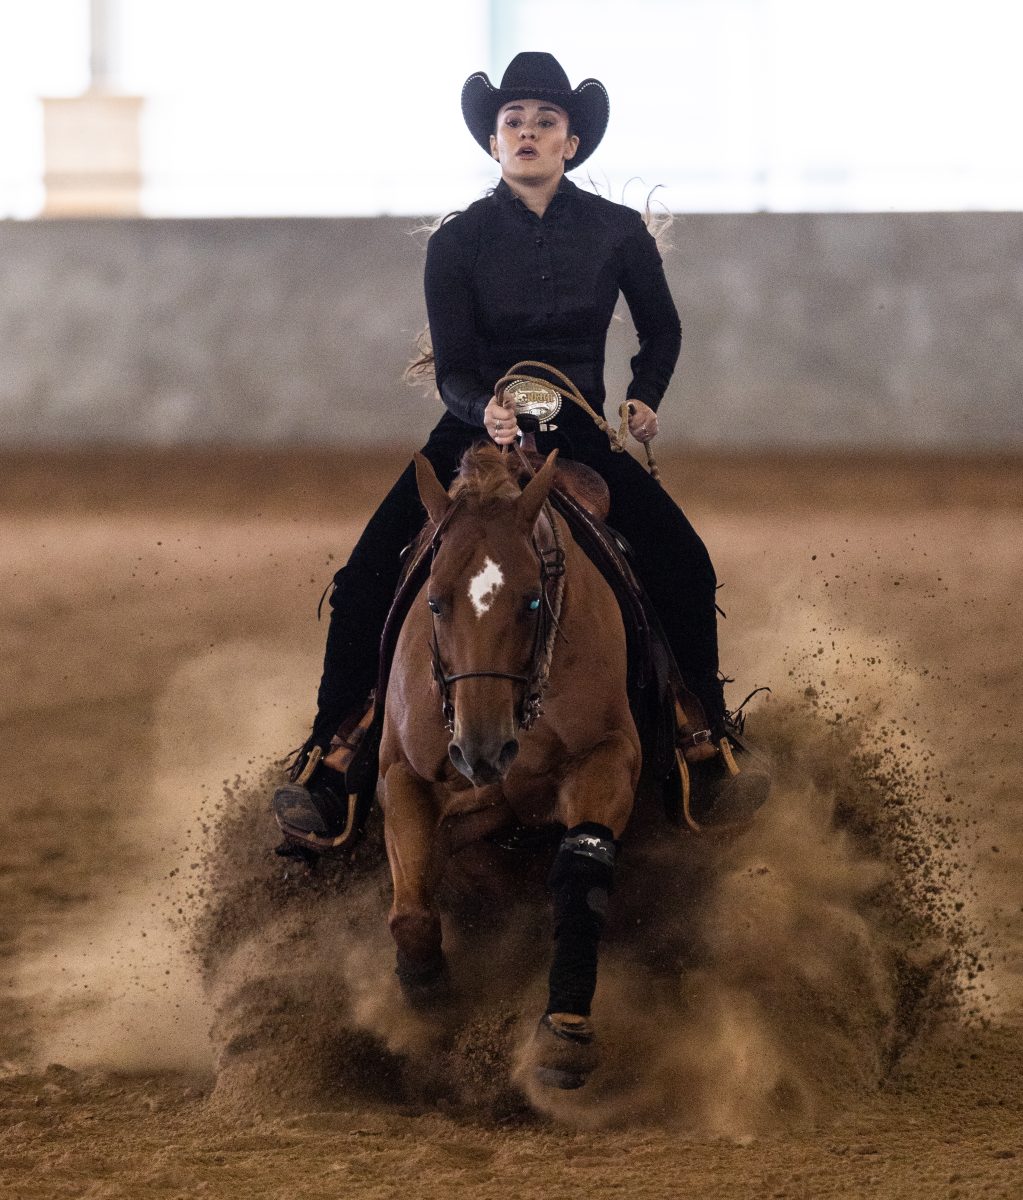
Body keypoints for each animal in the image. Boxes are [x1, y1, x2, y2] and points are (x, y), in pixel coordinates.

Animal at [379, 446, 638, 1094]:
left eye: (532, 600)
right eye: (435, 600)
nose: (482, 749)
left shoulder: (608, 758)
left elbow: (582, 877)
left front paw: (564, 1033)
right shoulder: (405, 776)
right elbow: (413, 913)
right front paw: (429, 1006)